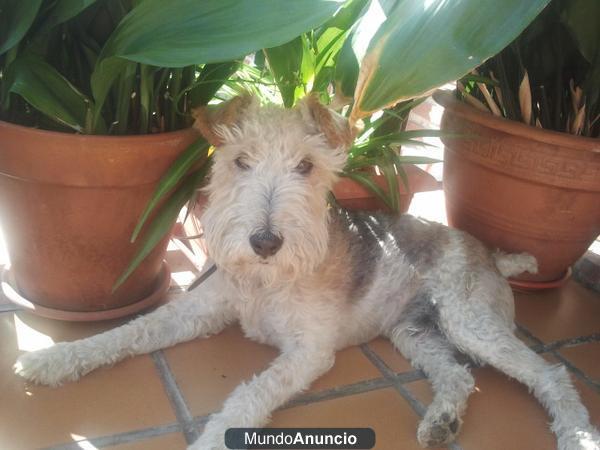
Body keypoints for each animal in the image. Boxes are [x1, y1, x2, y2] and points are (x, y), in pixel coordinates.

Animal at [14, 96, 600, 450]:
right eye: (240, 161)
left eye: (306, 166)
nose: (265, 242)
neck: (262, 282)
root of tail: (492, 254)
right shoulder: (194, 311)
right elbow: (126, 333)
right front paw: (50, 359)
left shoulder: (308, 351)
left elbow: (247, 397)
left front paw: (212, 436)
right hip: (415, 332)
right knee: (458, 376)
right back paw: (441, 423)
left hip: (468, 322)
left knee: (550, 374)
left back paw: (576, 434)